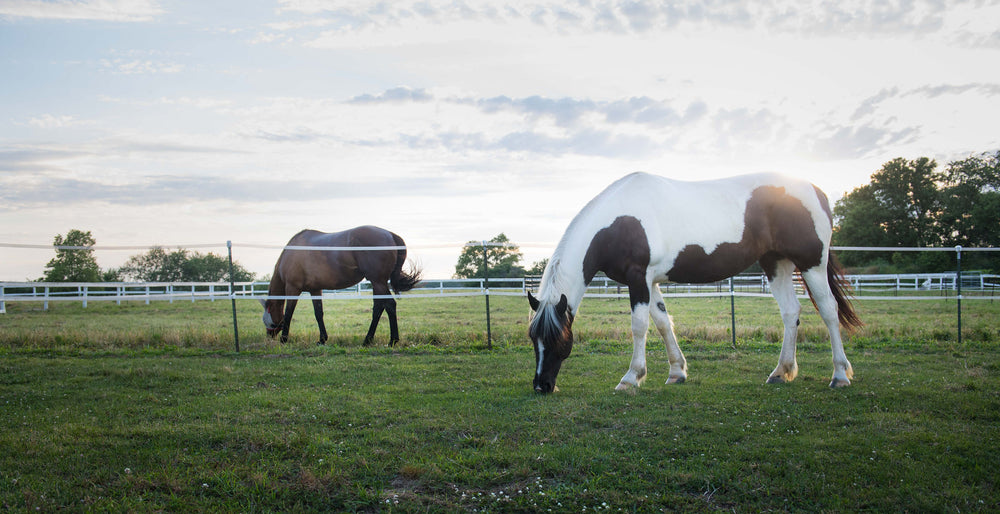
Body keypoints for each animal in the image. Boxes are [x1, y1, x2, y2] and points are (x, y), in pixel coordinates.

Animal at [261, 226, 421, 346]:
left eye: (269, 322)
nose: (270, 336)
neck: (291, 252)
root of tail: (390, 234)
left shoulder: (293, 288)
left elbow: (289, 313)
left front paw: (284, 339)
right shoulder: (315, 289)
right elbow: (318, 313)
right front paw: (322, 339)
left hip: (378, 282)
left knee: (389, 305)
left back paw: (391, 340)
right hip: (377, 283)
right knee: (378, 307)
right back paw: (368, 340)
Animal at [527, 172, 862, 393]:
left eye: (559, 339)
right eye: (533, 338)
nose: (542, 385)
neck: (619, 221)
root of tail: (816, 191)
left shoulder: (638, 278)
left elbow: (639, 327)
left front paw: (631, 378)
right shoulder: (650, 281)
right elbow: (663, 323)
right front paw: (677, 372)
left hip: (811, 265)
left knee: (829, 311)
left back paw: (840, 375)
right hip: (776, 264)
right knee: (791, 312)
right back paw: (781, 372)